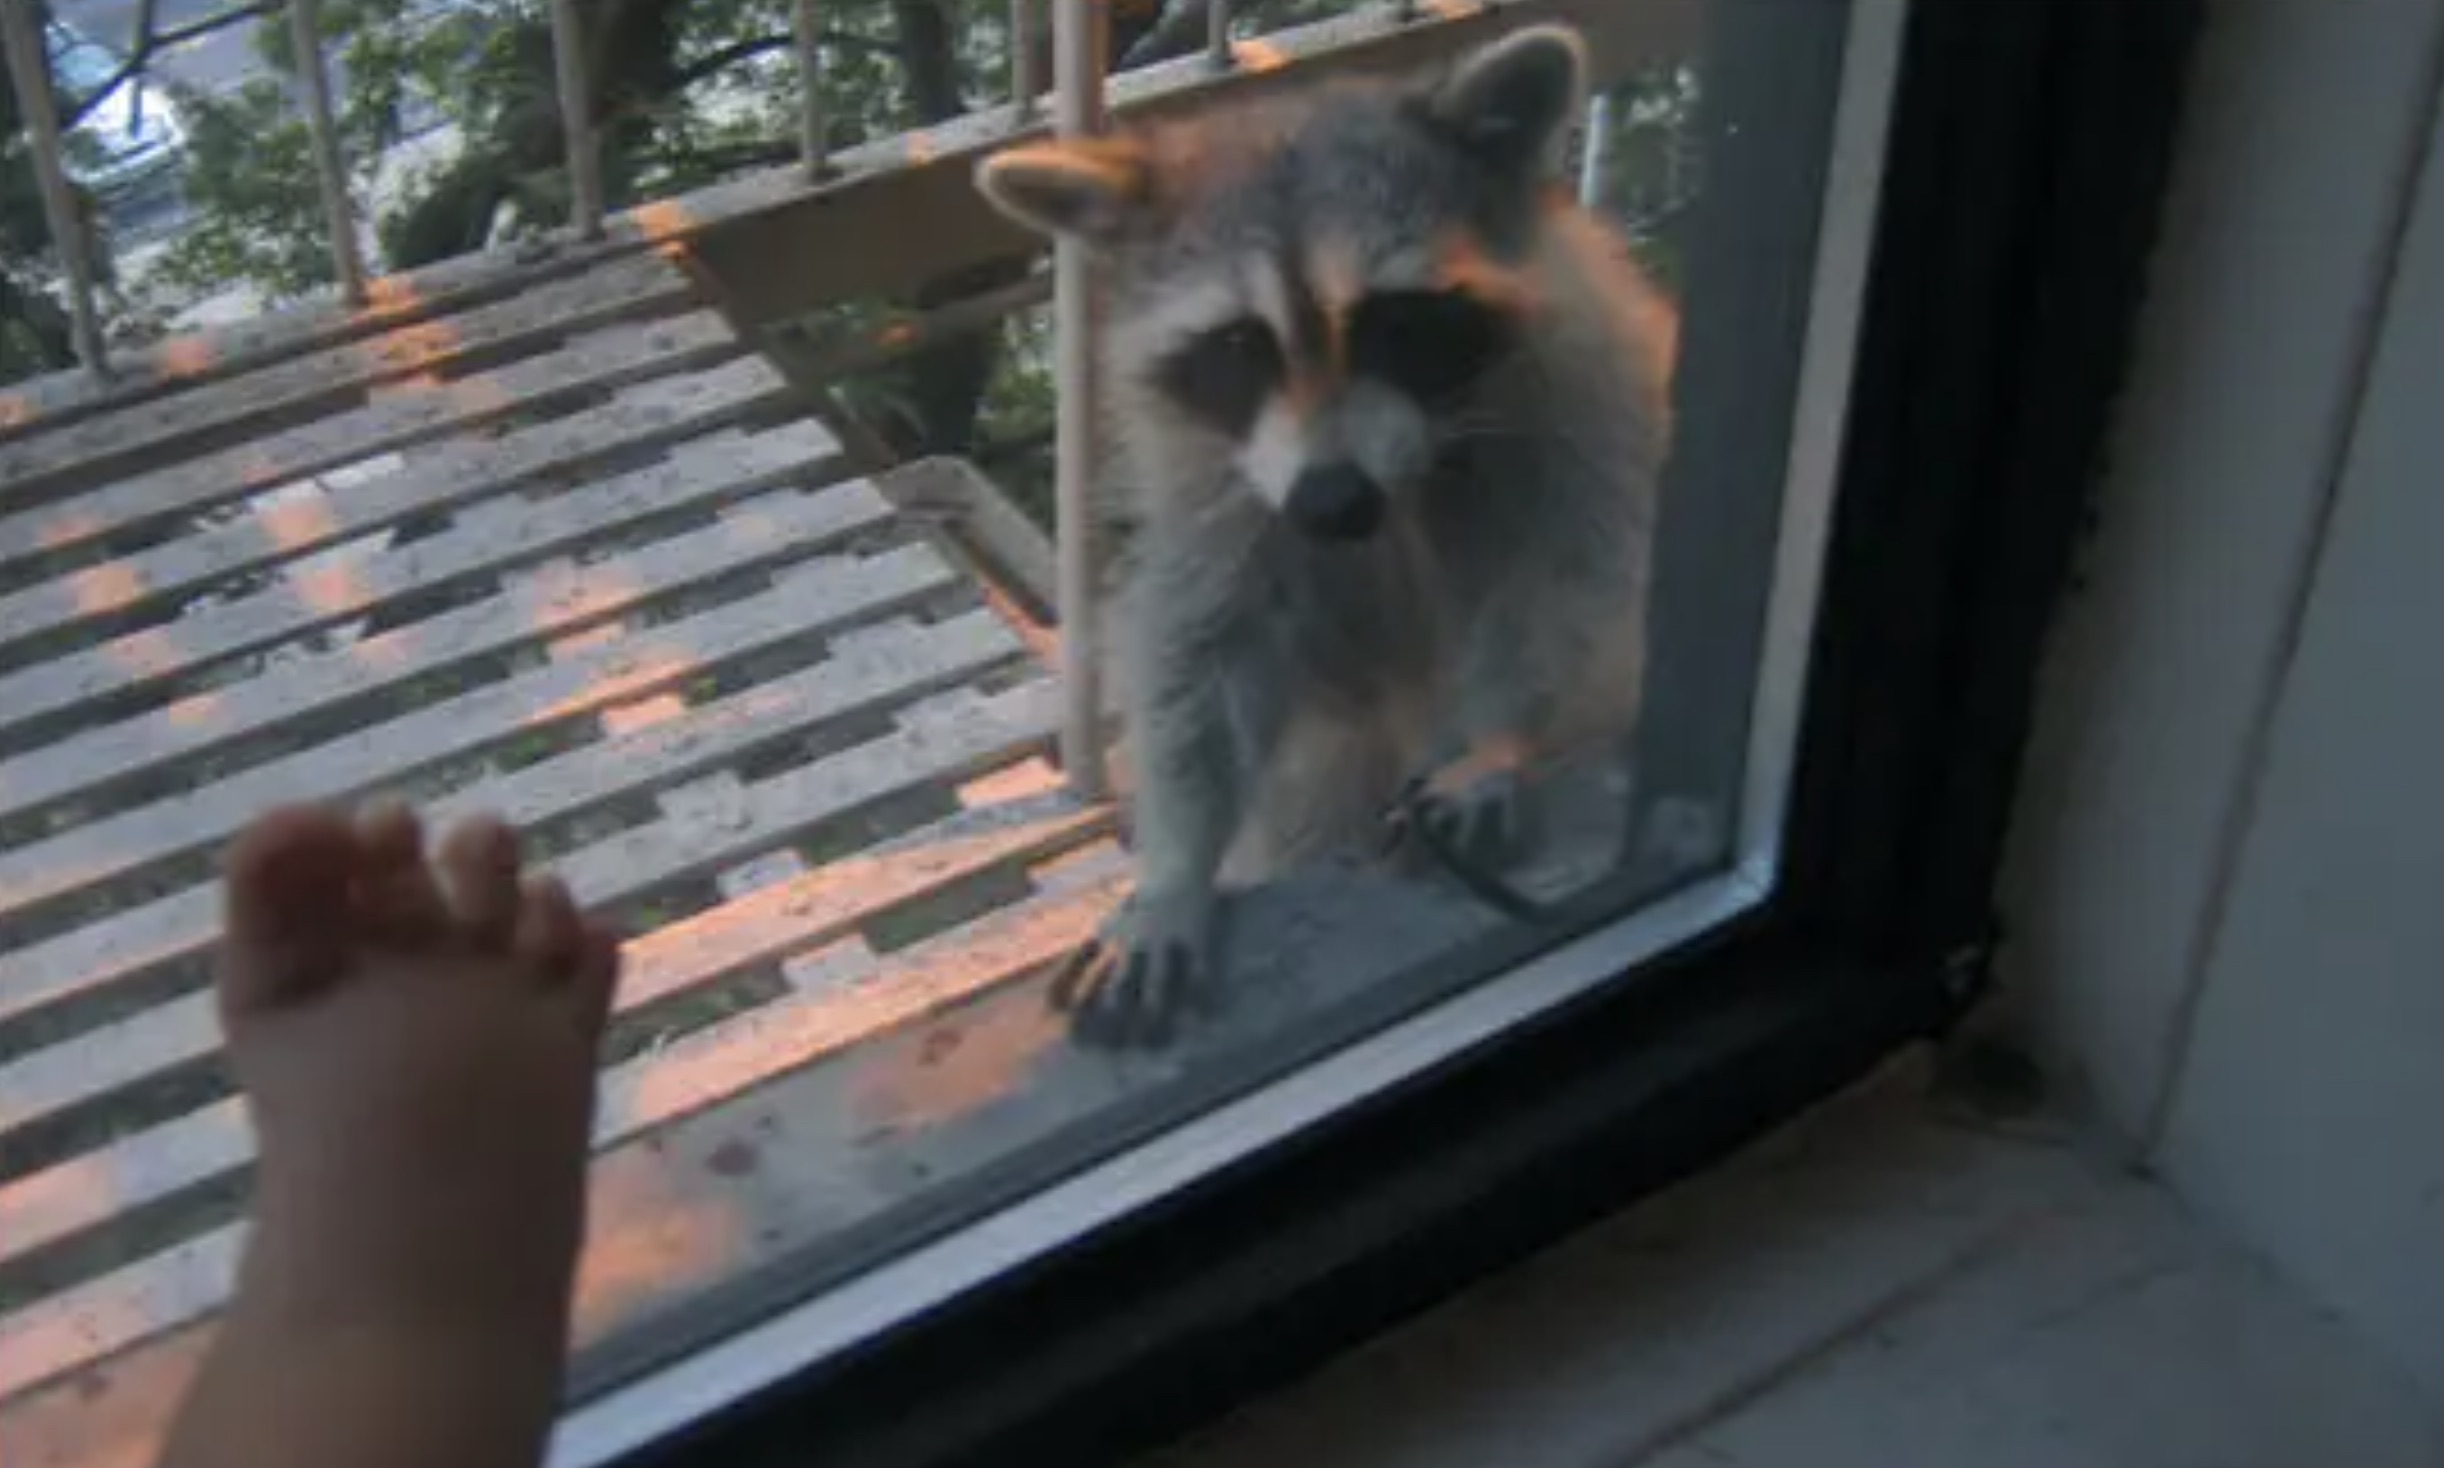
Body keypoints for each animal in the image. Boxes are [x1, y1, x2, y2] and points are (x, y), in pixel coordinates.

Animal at [972, 17, 1681, 1035]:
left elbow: (1569, 569)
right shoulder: (1214, 477)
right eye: (1240, 344)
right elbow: (1203, 650)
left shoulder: (1583, 392)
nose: (1333, 502)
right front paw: (1175, 870)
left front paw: (1500, 735)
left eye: (1393, 322)